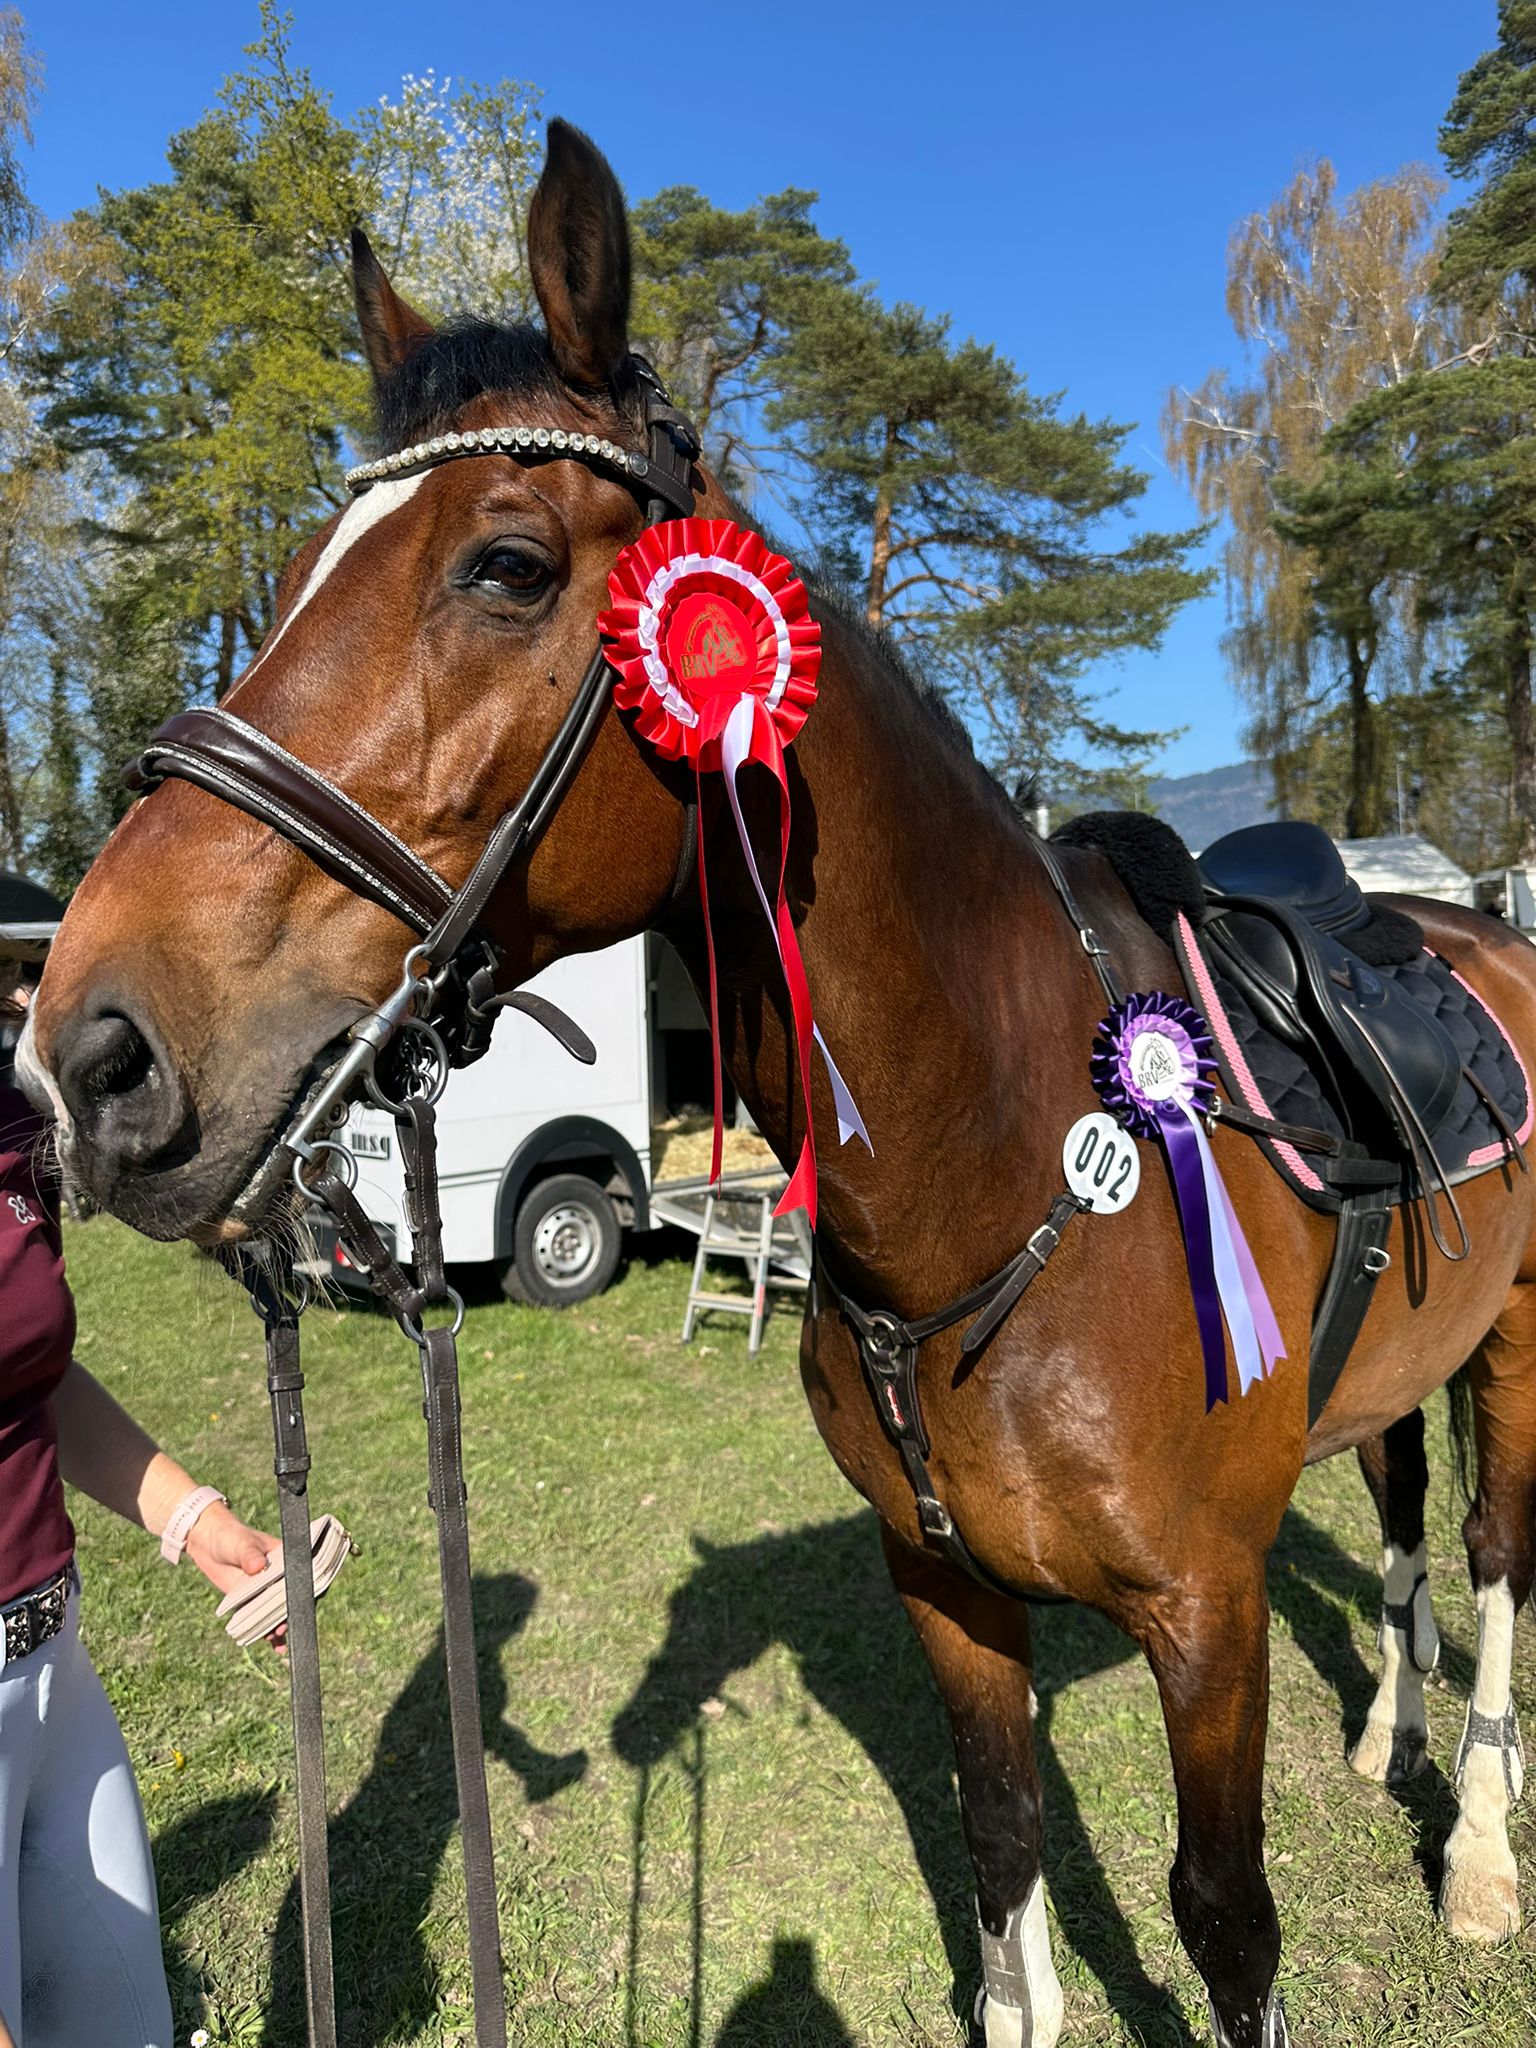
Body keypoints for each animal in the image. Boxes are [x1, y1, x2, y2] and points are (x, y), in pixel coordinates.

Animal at [20, 121, 1536, 2048]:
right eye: (294, 569)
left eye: (505, 566)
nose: (88, 1050)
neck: (1018, 1163)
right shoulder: (947, 1591)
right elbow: (1001, 1860)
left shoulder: (1208, 1617)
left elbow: (1226, 1925)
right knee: (1407, 1510)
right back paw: (1385, 1735)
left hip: (1518, 1353)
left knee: (1489, 1549)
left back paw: (1477, 1847)